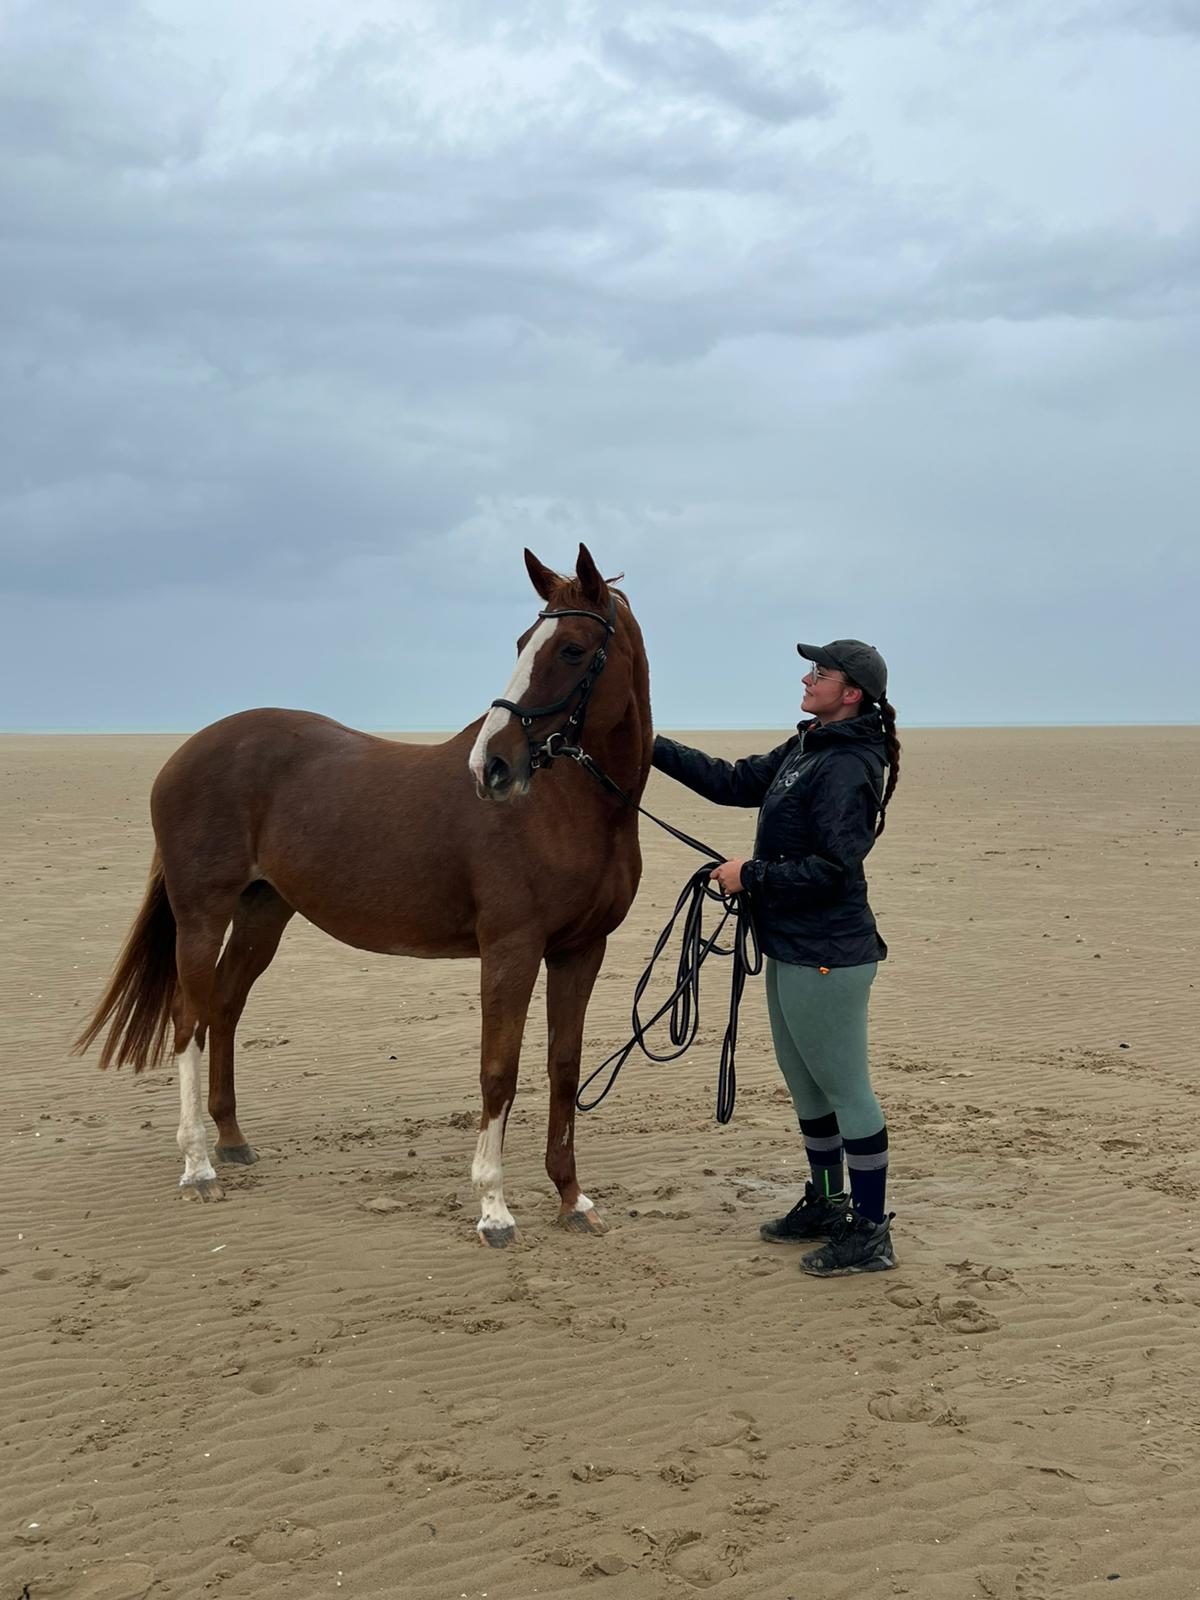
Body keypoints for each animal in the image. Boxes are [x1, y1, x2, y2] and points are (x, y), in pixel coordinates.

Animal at [73, 543, 652, 1245]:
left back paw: (232, 1141)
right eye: (521, 643)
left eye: (570, 649)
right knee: (189, 1020)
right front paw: (494, 1209)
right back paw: (199, 1166)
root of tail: (185, 755)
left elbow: (563, 1069)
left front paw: (572, 1198)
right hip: (201, 915)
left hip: (264, 911)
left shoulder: (580, 950)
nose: (491, 767)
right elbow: (499, 1071)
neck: (567, 807)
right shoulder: (510, 950)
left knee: (225, 1007)